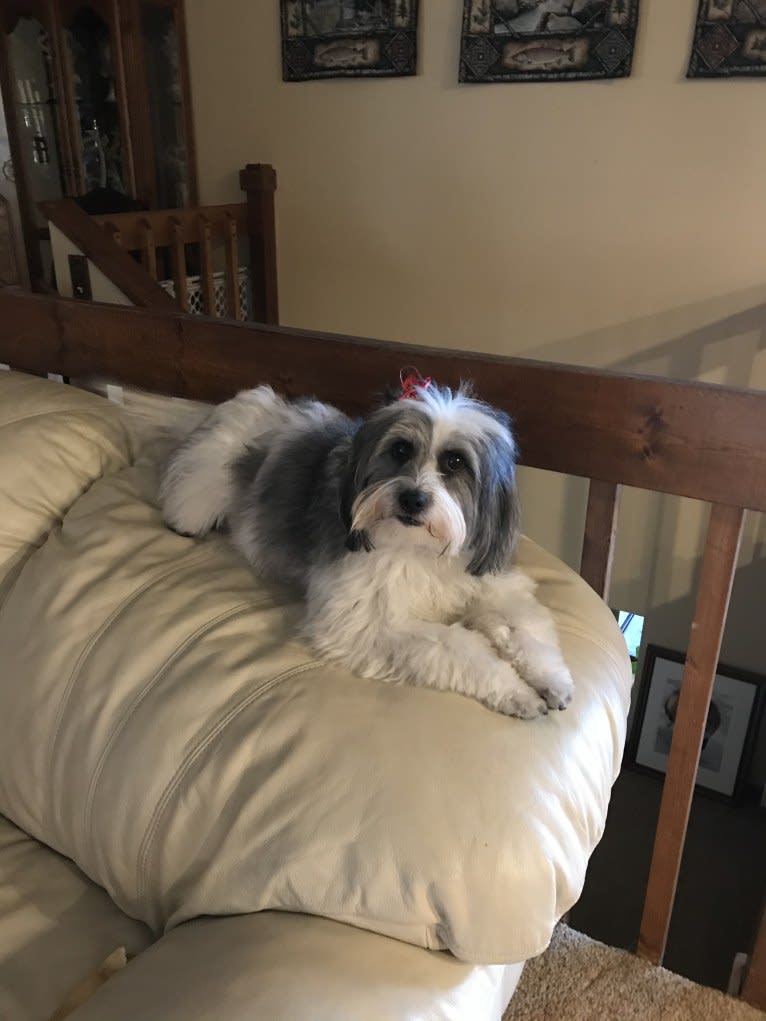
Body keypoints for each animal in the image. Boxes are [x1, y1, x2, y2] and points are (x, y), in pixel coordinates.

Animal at [159, 375, 571, 718]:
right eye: (401, 450)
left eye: (455, 462)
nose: (412, 498)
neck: (422, 549)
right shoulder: (365, 622)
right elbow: (459, 646)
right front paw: (515, 690)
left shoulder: (493, 582)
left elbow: (520, 624)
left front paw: (550, 677)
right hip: (198, 494)